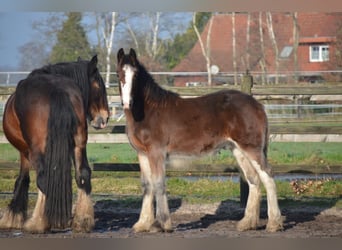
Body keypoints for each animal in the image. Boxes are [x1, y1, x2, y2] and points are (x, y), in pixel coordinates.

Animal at [0, 55, 109, 233]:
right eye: (98, 84)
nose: (104, 118)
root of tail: (58, 91)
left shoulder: (24, 151)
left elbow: (23, 179)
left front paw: (12, 217)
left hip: (36, 150)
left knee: (43, 179)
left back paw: (39, 222)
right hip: (79, 143)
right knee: (83, 174)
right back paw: (82, 220)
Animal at [117, 48, 284, 232]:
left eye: (136, 76)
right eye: (119, 74)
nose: (127, 103)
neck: (149, 111)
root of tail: (257, 105)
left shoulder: (156, 153)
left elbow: (159, 184)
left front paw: (162, 224)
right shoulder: (142, 153)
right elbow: (147, 186)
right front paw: (143, 223)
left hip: (251, 149)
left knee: (267, 176)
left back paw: (274, 223)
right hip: (238, 150)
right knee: (253, 179)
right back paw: (247, 223)